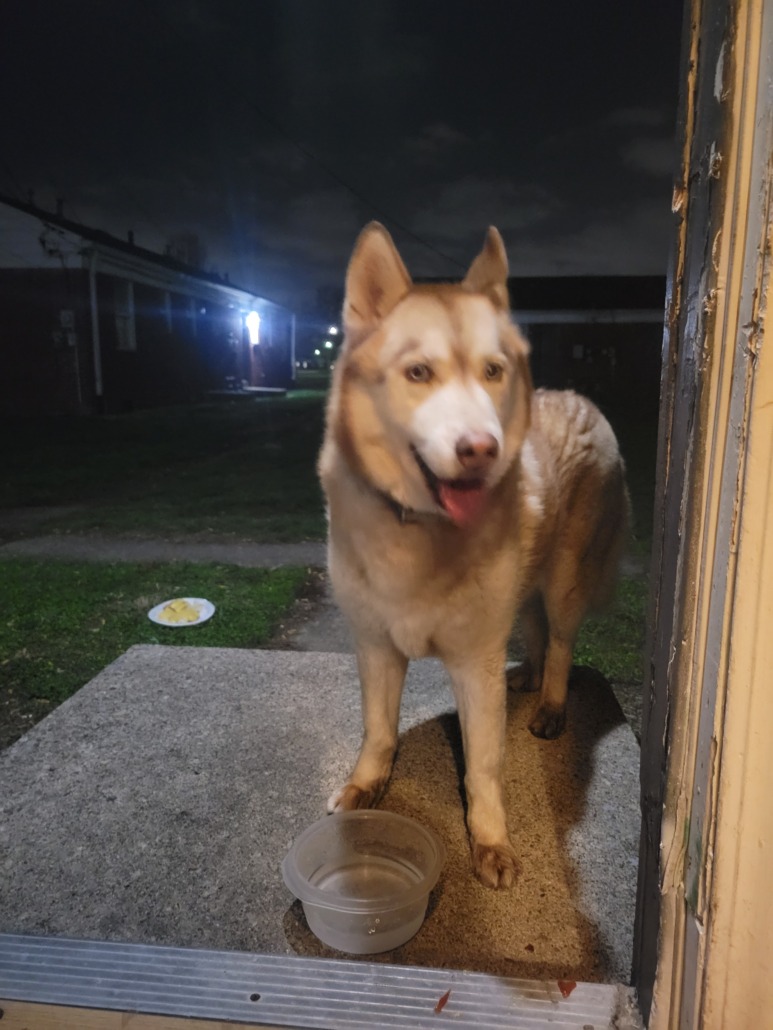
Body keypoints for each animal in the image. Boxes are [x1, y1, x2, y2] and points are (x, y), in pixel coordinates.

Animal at [317, 222, 629, 889]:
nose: (482, 449)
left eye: (492, 371)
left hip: (565, 579)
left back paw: (551, 702)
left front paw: (489, 841)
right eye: (418, 372)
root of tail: (583, 398)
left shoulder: (474, 662)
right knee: (533, 626)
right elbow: (377, 731)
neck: (417, 528)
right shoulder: (375, 647)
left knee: (560, 641)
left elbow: (484, 766)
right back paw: (529, 677)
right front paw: (364, 786)